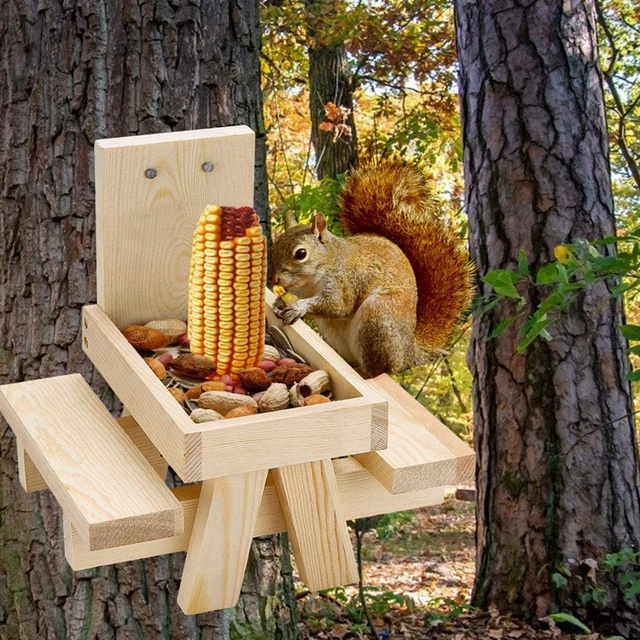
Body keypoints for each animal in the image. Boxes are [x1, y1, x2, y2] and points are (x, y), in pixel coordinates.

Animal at [268, 162, 472, 380]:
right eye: (276, 245)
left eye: (301, 253)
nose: (273, 279)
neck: (311, 280)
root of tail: (407, 354)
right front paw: (279, 302)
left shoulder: (345, 281)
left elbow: (339, 306)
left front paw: (299, 307)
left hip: (377, 316)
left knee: (377, 370)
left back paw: (362, 374)